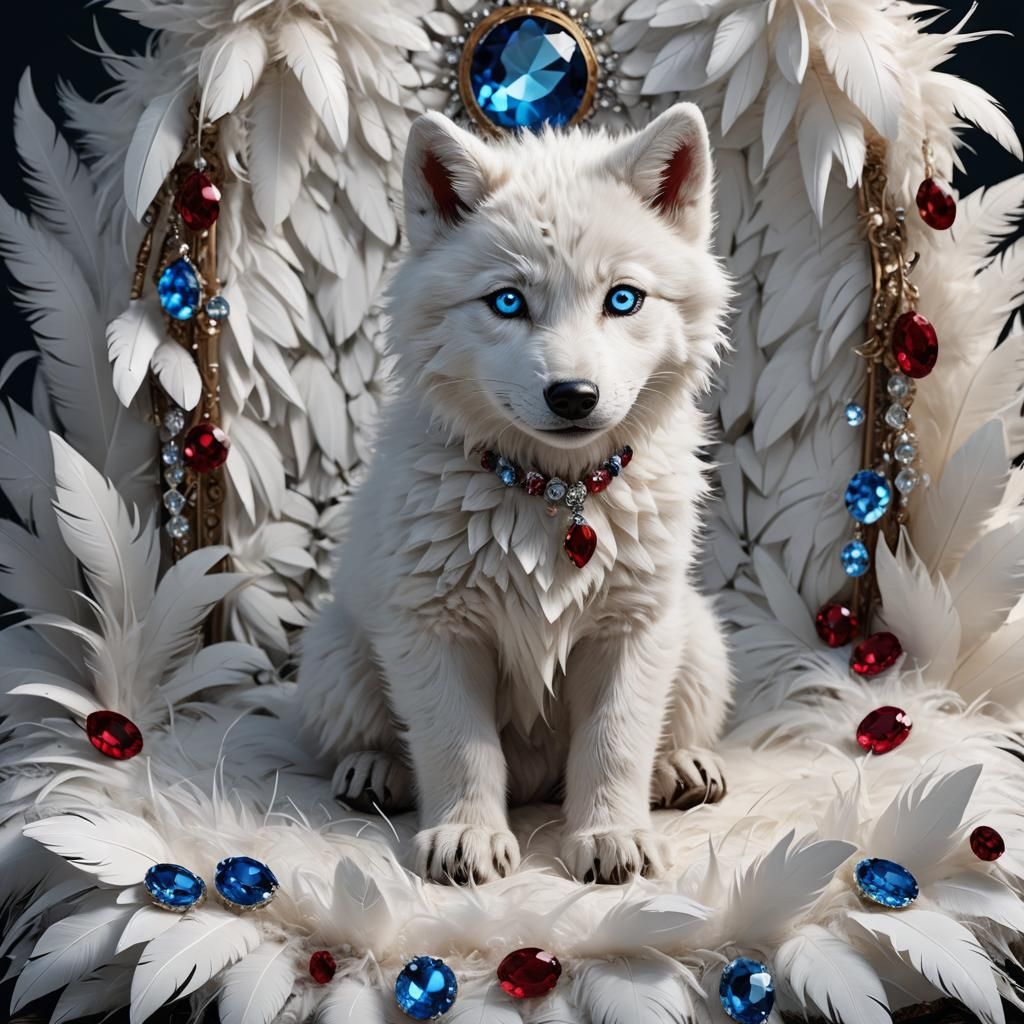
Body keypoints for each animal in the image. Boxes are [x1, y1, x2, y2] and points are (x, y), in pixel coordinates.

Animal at [300, 102, 733, 885]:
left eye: (623, 299)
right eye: (507, 301)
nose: (574, 396)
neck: (551, 490)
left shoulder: (633, 629)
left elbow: (617, 741)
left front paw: (609, 835)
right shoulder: (434, 630)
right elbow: (458, 746)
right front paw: (466, 836)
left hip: (699, 638)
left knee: (670, 729)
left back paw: (679, 767)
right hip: (334, 653)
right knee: (371, 735)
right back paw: (375, 770)